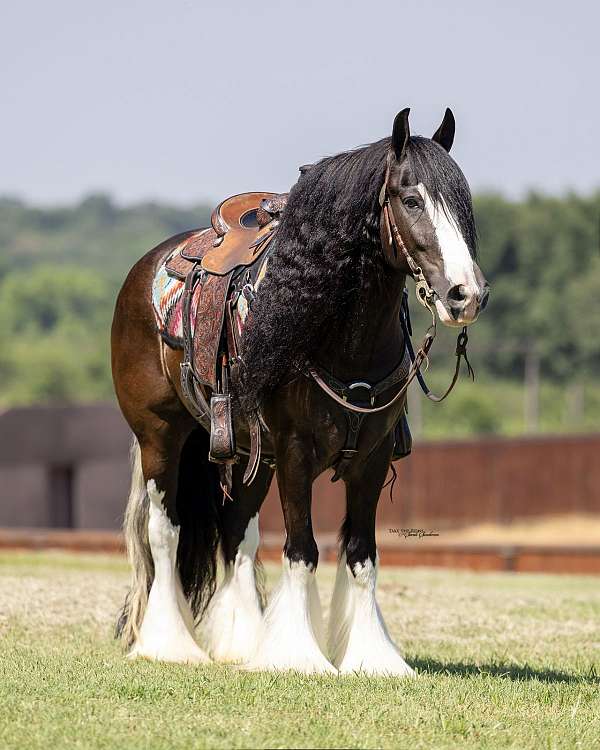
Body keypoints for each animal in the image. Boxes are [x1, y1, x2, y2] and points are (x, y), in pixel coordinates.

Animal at [111, 108, 488, 680]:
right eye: (411, 199)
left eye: (462, 202)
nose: (466, 294)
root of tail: (145, 268)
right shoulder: (294, 452)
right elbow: (302, 549)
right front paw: (298, 656)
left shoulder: (371, 457)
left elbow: (361, 553)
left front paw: (371, 657)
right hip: (160, 437)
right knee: (164, 531)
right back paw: (169, 644)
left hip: (249, 456)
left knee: (237, 535)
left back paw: (243, 644)